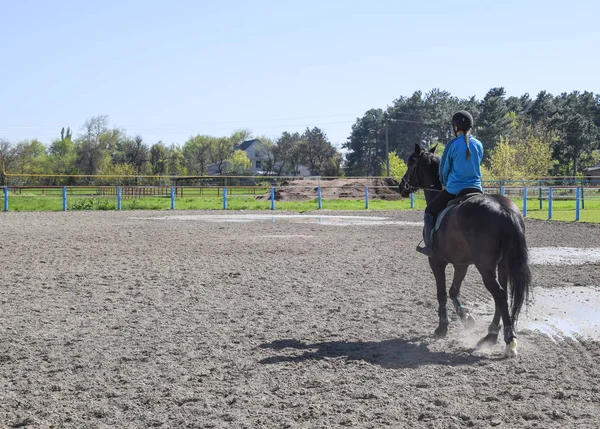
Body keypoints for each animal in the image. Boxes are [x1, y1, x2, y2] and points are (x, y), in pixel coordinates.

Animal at [400, 142, 532, 356]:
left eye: (411, 162)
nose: (401, 186)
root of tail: (504, 210)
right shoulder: (461, 264)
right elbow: (454, 290)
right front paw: (466, 317)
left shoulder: (436, 261)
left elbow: (442, 293)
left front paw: (442, 327)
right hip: (503, 264)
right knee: (503, 294)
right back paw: (491, 334)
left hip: (485, 267)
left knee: (499, 294)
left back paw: (509, 340)